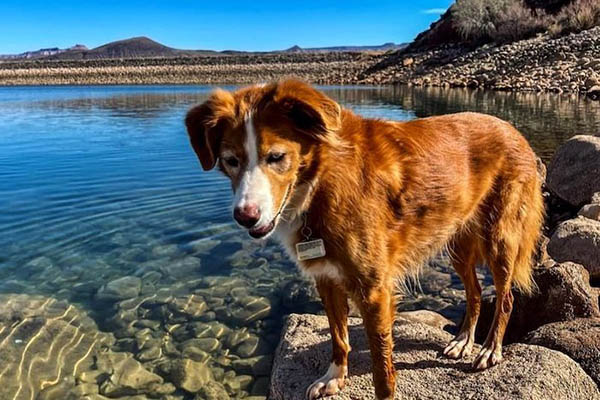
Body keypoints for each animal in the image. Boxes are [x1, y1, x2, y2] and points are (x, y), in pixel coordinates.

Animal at [185, 79, 548, 398]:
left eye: (276, 157)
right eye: (231, 161)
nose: (245, 216)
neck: (320, 182)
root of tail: (514, 129)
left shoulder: (374, 289)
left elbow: (381, 367)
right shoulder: (326, 278)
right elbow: (338, 337)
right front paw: (335, 377)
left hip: (500, 239)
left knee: (505, 298)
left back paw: (490, 349)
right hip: (457, 243)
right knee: (474, 294)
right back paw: (463, 340)